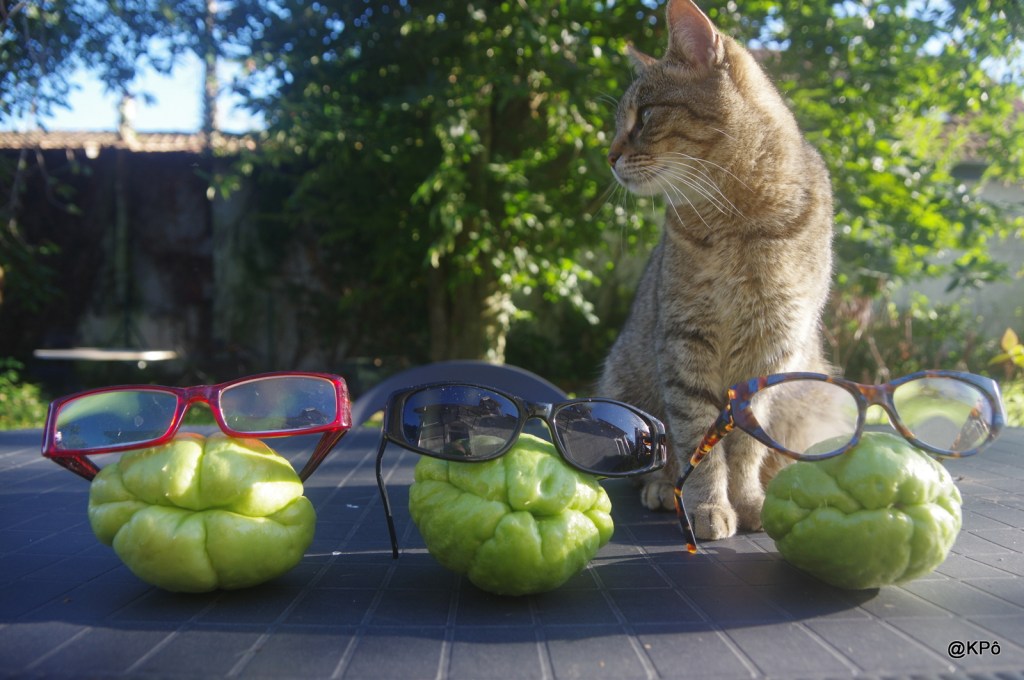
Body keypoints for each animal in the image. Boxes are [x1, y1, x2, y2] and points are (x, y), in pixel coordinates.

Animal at [597, 0, 835, 542]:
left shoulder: (771, 349)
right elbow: (697, 437)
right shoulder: (686, 339)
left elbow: (745, 443)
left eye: (644, 116)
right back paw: (663, 487)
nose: (610, 155)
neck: (740, 223)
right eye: (620, 121)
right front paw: (707, 504)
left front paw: (747, 501)